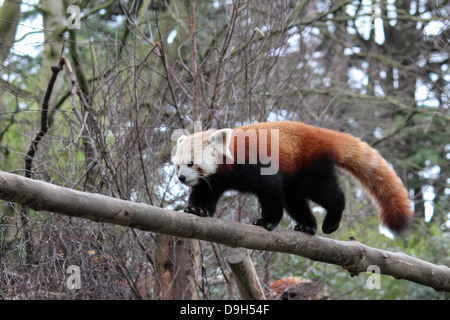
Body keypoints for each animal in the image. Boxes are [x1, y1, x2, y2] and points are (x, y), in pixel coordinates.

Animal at [173, 121, 414, 236]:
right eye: (177, 165)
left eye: (191, 162)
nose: (181, 178)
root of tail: (322, 133)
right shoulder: (216, 178)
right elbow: (205, 192)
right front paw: (197, 209)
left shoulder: (255, 164)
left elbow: (270, 191)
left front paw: (266, 221)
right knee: (295, 200)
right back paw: (308, 225)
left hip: (310, 165)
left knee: (326, 194)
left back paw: (331, 219)